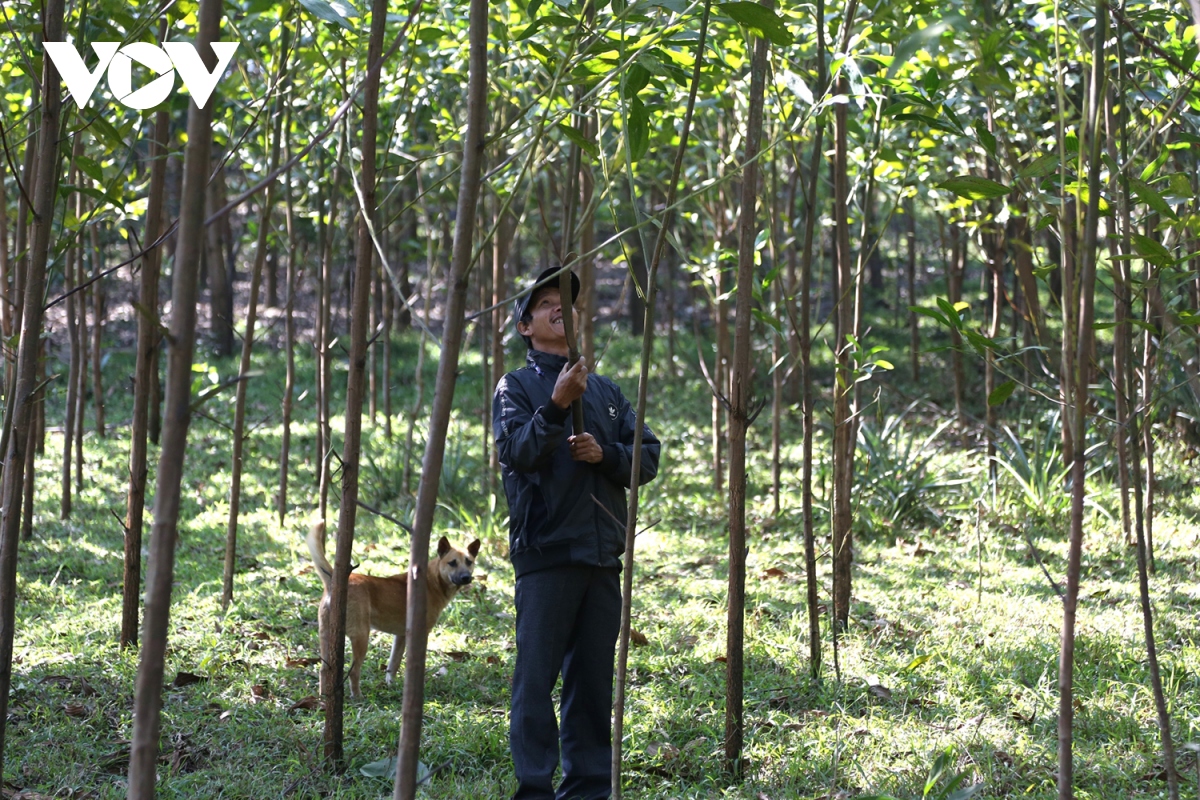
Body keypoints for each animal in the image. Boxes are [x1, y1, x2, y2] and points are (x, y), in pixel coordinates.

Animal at [307, 522, 480, 695]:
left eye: (469, 562)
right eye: (452, 563)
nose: (466, 577)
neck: (432, 581)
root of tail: (334, 583)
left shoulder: (400, 635)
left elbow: (393, 665)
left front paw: (392, 686)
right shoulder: (420, 634)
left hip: (326, 635)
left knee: (324, 670)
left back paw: (323, 697)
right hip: (361, 636)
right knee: (353, 672)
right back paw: (357, 697)